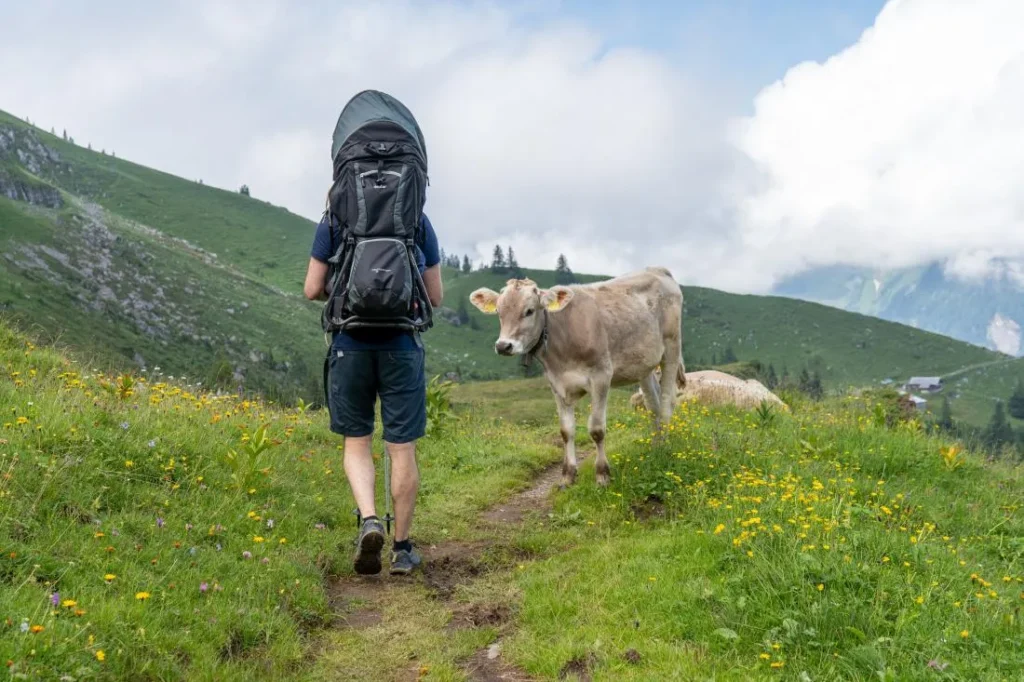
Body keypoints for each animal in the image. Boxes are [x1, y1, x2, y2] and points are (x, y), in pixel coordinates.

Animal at [468, 264, 684, 483]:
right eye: (499, 311)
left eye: (529, 311)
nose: (503, 346)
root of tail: (656, 269)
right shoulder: (556, 383)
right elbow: (566, 430)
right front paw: (568, 475)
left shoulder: (601, 376)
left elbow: (597, 429)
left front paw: (602, 474)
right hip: (644, 365)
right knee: (653, 405)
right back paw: (656, 446)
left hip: (671, 347)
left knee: (667, 403)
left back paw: (666, 448)